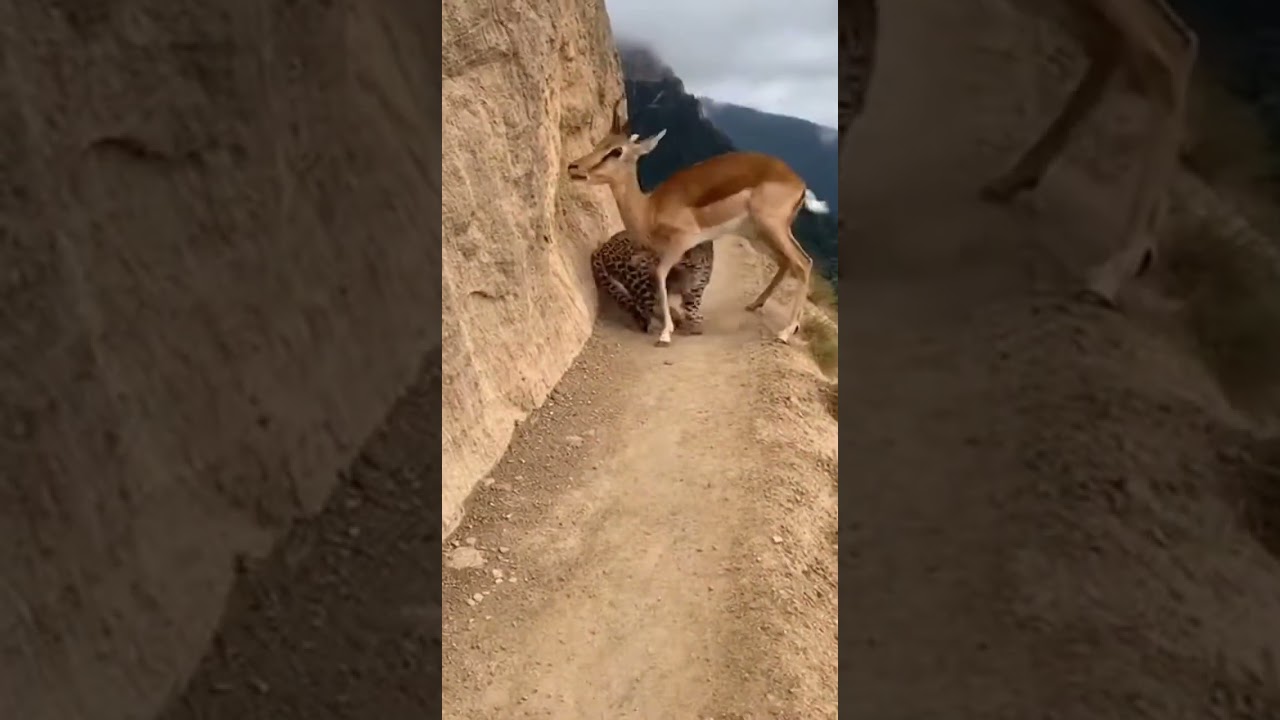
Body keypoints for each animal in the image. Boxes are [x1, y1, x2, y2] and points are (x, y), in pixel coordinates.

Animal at [566, 99, 830, 347]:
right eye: (600, 142)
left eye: (616, 151)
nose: (573, 166)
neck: (650, 209)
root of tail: (799, 183)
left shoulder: (681, 242)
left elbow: (660, 275)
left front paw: (665, 334)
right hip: (758, 234)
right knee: (787, 262)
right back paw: (756, 306)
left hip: (772, 229)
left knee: (803, 263)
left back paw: (785, 332)